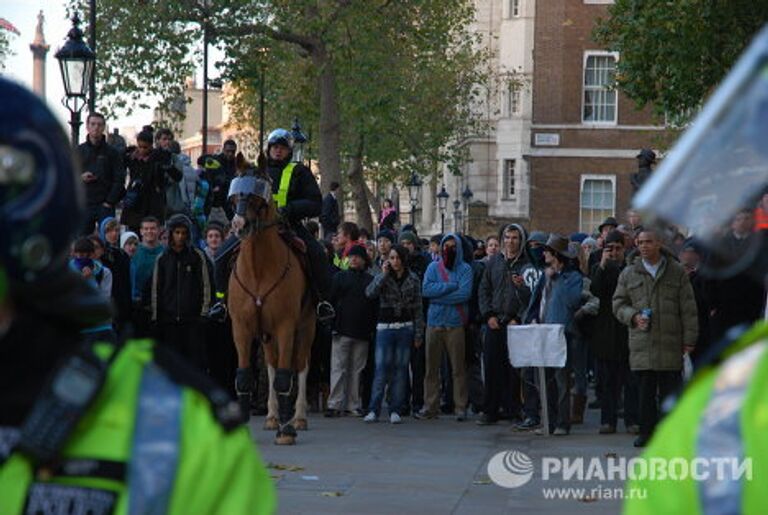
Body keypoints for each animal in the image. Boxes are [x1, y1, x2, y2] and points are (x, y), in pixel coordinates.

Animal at [228, 159, 316, 446]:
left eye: (258, 194)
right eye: (235, 194)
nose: (238, 225)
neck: (259, 269)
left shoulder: (286, 326)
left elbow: (285, 378)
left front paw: (286, 432)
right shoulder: (242, 328)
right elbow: (245, 377)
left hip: (306, 326)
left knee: (300, 365)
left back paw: (297, 418)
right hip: (266, 335)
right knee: (271, 364)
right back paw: (272, 416)